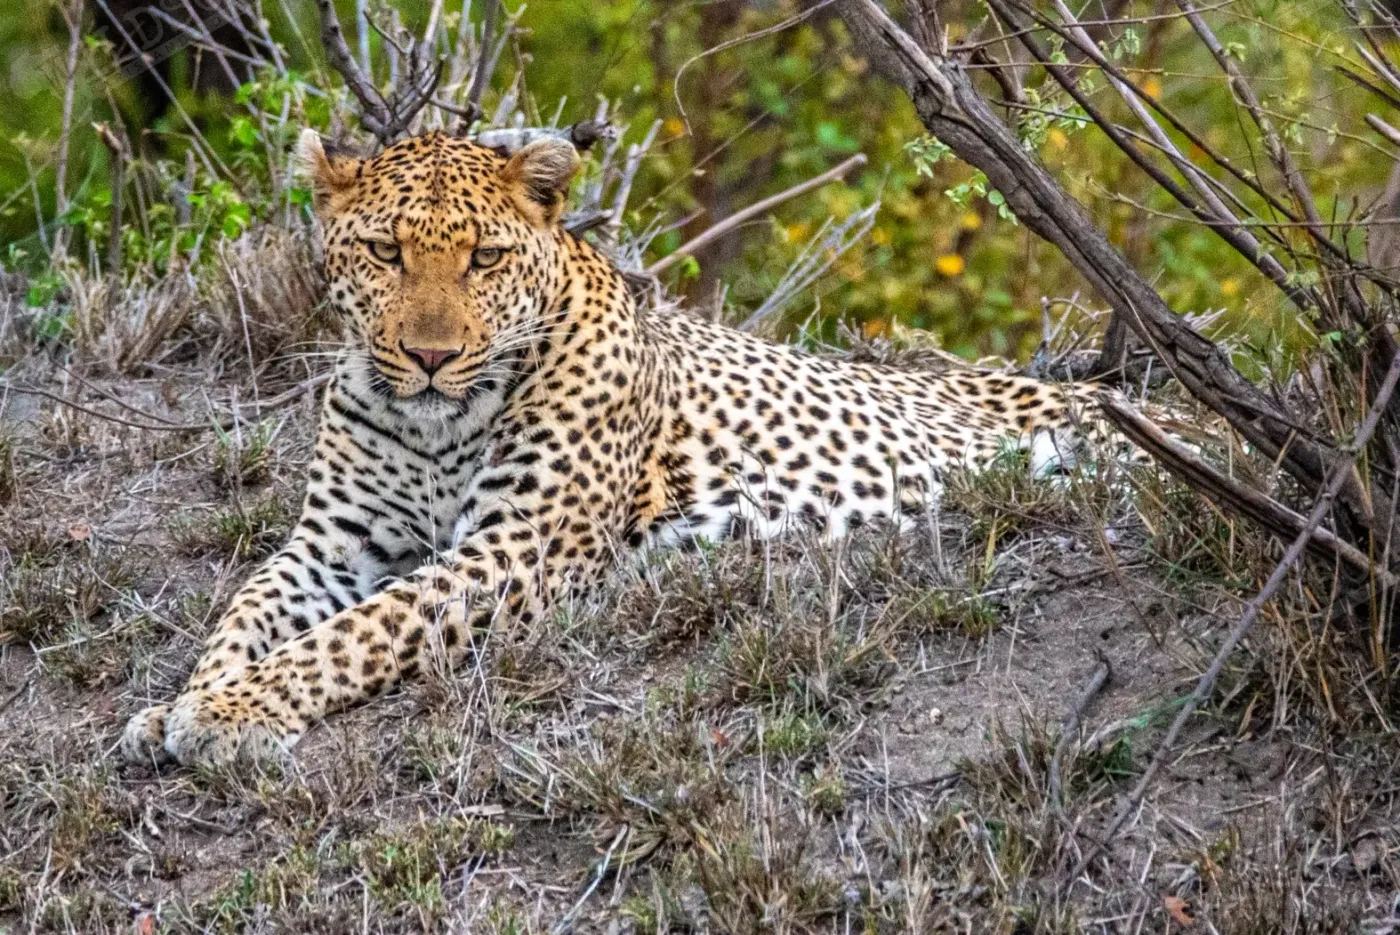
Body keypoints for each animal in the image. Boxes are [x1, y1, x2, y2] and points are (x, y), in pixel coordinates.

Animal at [120, 129, 1116, 768]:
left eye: (483, 258)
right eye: (383, 251)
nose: (432, 356)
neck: (440, 423)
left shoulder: (521, 546)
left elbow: (362, 629)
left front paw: (232, 708)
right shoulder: (331, 544)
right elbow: (243, 613)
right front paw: (176, 705)